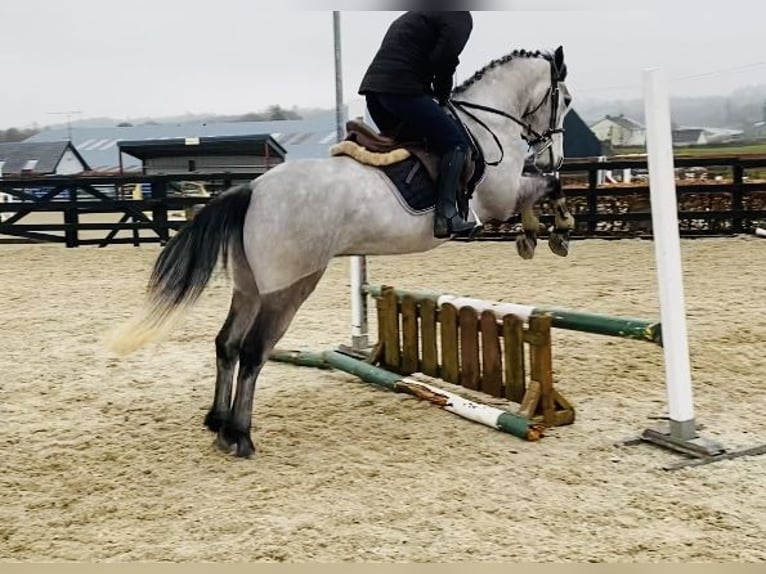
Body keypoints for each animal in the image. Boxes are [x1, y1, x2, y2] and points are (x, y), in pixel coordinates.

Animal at [109, 46, 576, 460]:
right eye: (566, 101)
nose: (553, 156)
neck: (488, 122)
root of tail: (252, 190)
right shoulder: (500, 198)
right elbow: (544, 189)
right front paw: (551, 232)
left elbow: (541, 189)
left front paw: (540, 233)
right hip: (289, 287)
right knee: (253, 350)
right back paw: (239, 435)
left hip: (249, 287)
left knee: (227, 343)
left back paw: (218, 422)